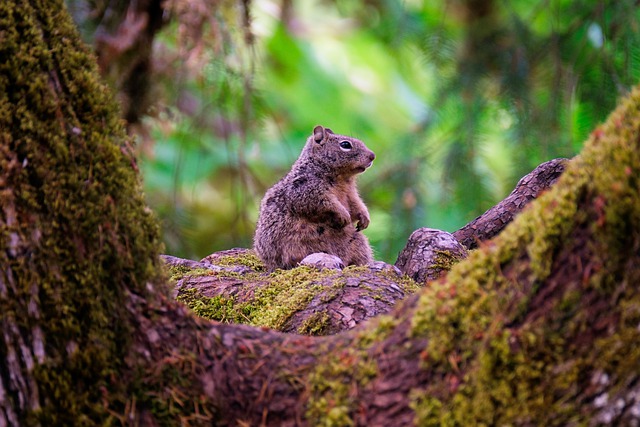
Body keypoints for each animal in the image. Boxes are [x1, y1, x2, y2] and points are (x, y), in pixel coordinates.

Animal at [254, 124, 376, 270]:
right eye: (345, 144)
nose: (373, 156)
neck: (343, 178)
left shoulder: (351, 194)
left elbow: (357, 205)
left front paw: (365, 218)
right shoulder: (305, 190)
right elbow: (325, 204)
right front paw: (343, 215)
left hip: (359, 243)